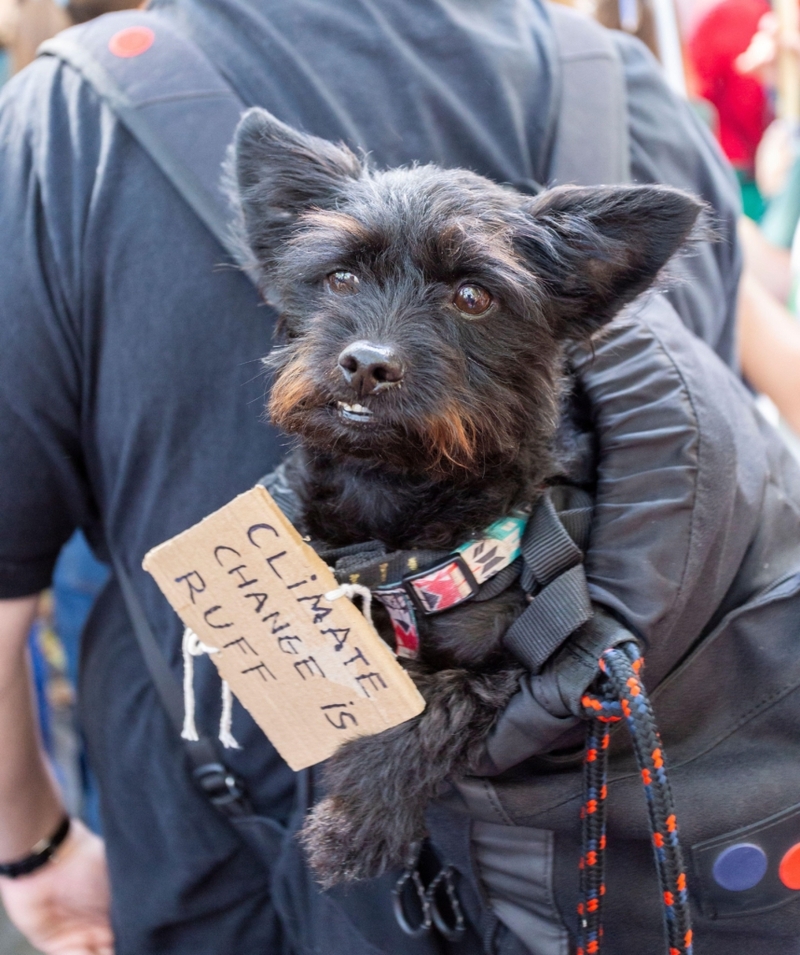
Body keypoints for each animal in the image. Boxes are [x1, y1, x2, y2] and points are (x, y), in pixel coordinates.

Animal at [230, 108, 700, 892]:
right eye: (340, 275)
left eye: (473, 297)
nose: (367, 363)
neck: (401, 526)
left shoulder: (549, 668)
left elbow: (436, 698)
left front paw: (355, 823)